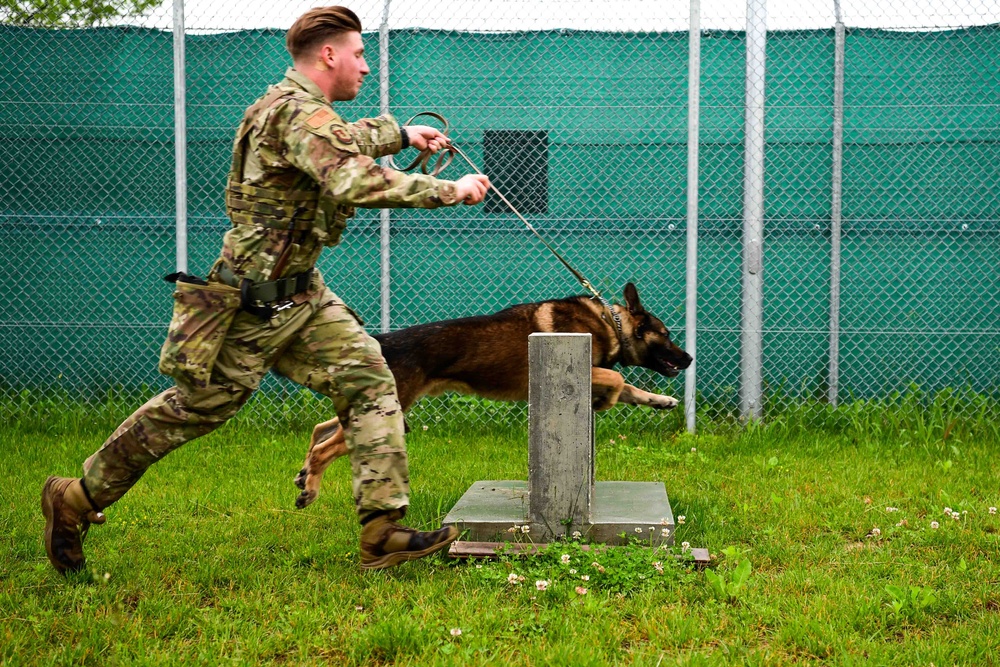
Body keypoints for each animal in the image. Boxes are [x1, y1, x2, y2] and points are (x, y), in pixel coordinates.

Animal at [292, 284, 692, 508]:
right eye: (666, 334)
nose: (688, 358)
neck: (612, 324)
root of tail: (382, 341)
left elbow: (630, 388)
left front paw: (660, 401)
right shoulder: (586, 368)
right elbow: (617, 377)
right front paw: (605, 401)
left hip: (377, 406)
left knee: (320, 428)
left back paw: (304, 473)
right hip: (387, 410)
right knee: (324, 446)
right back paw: (309, 488)